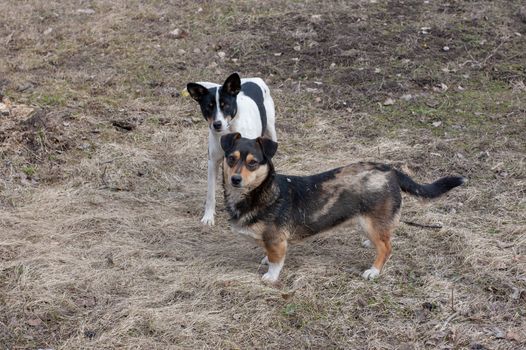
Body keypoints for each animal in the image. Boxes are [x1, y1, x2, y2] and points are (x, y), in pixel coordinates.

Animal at [188, 73, 278, 226]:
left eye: (226, 106)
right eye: (208, 107)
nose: (217, 124)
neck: (228, 131)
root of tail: (255, 78)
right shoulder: (213, 162)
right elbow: (210, 193)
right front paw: (208, 217)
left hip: (271, 130)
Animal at [221, 133, 468, 284]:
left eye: (253, 163)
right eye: (231, 159)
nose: (235, 179)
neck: (259, 192)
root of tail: (391, 170)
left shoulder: (276, 240)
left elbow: (276, 261)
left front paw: (271, 277)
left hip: (371, 222)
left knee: (387, 248)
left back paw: (373, 271)